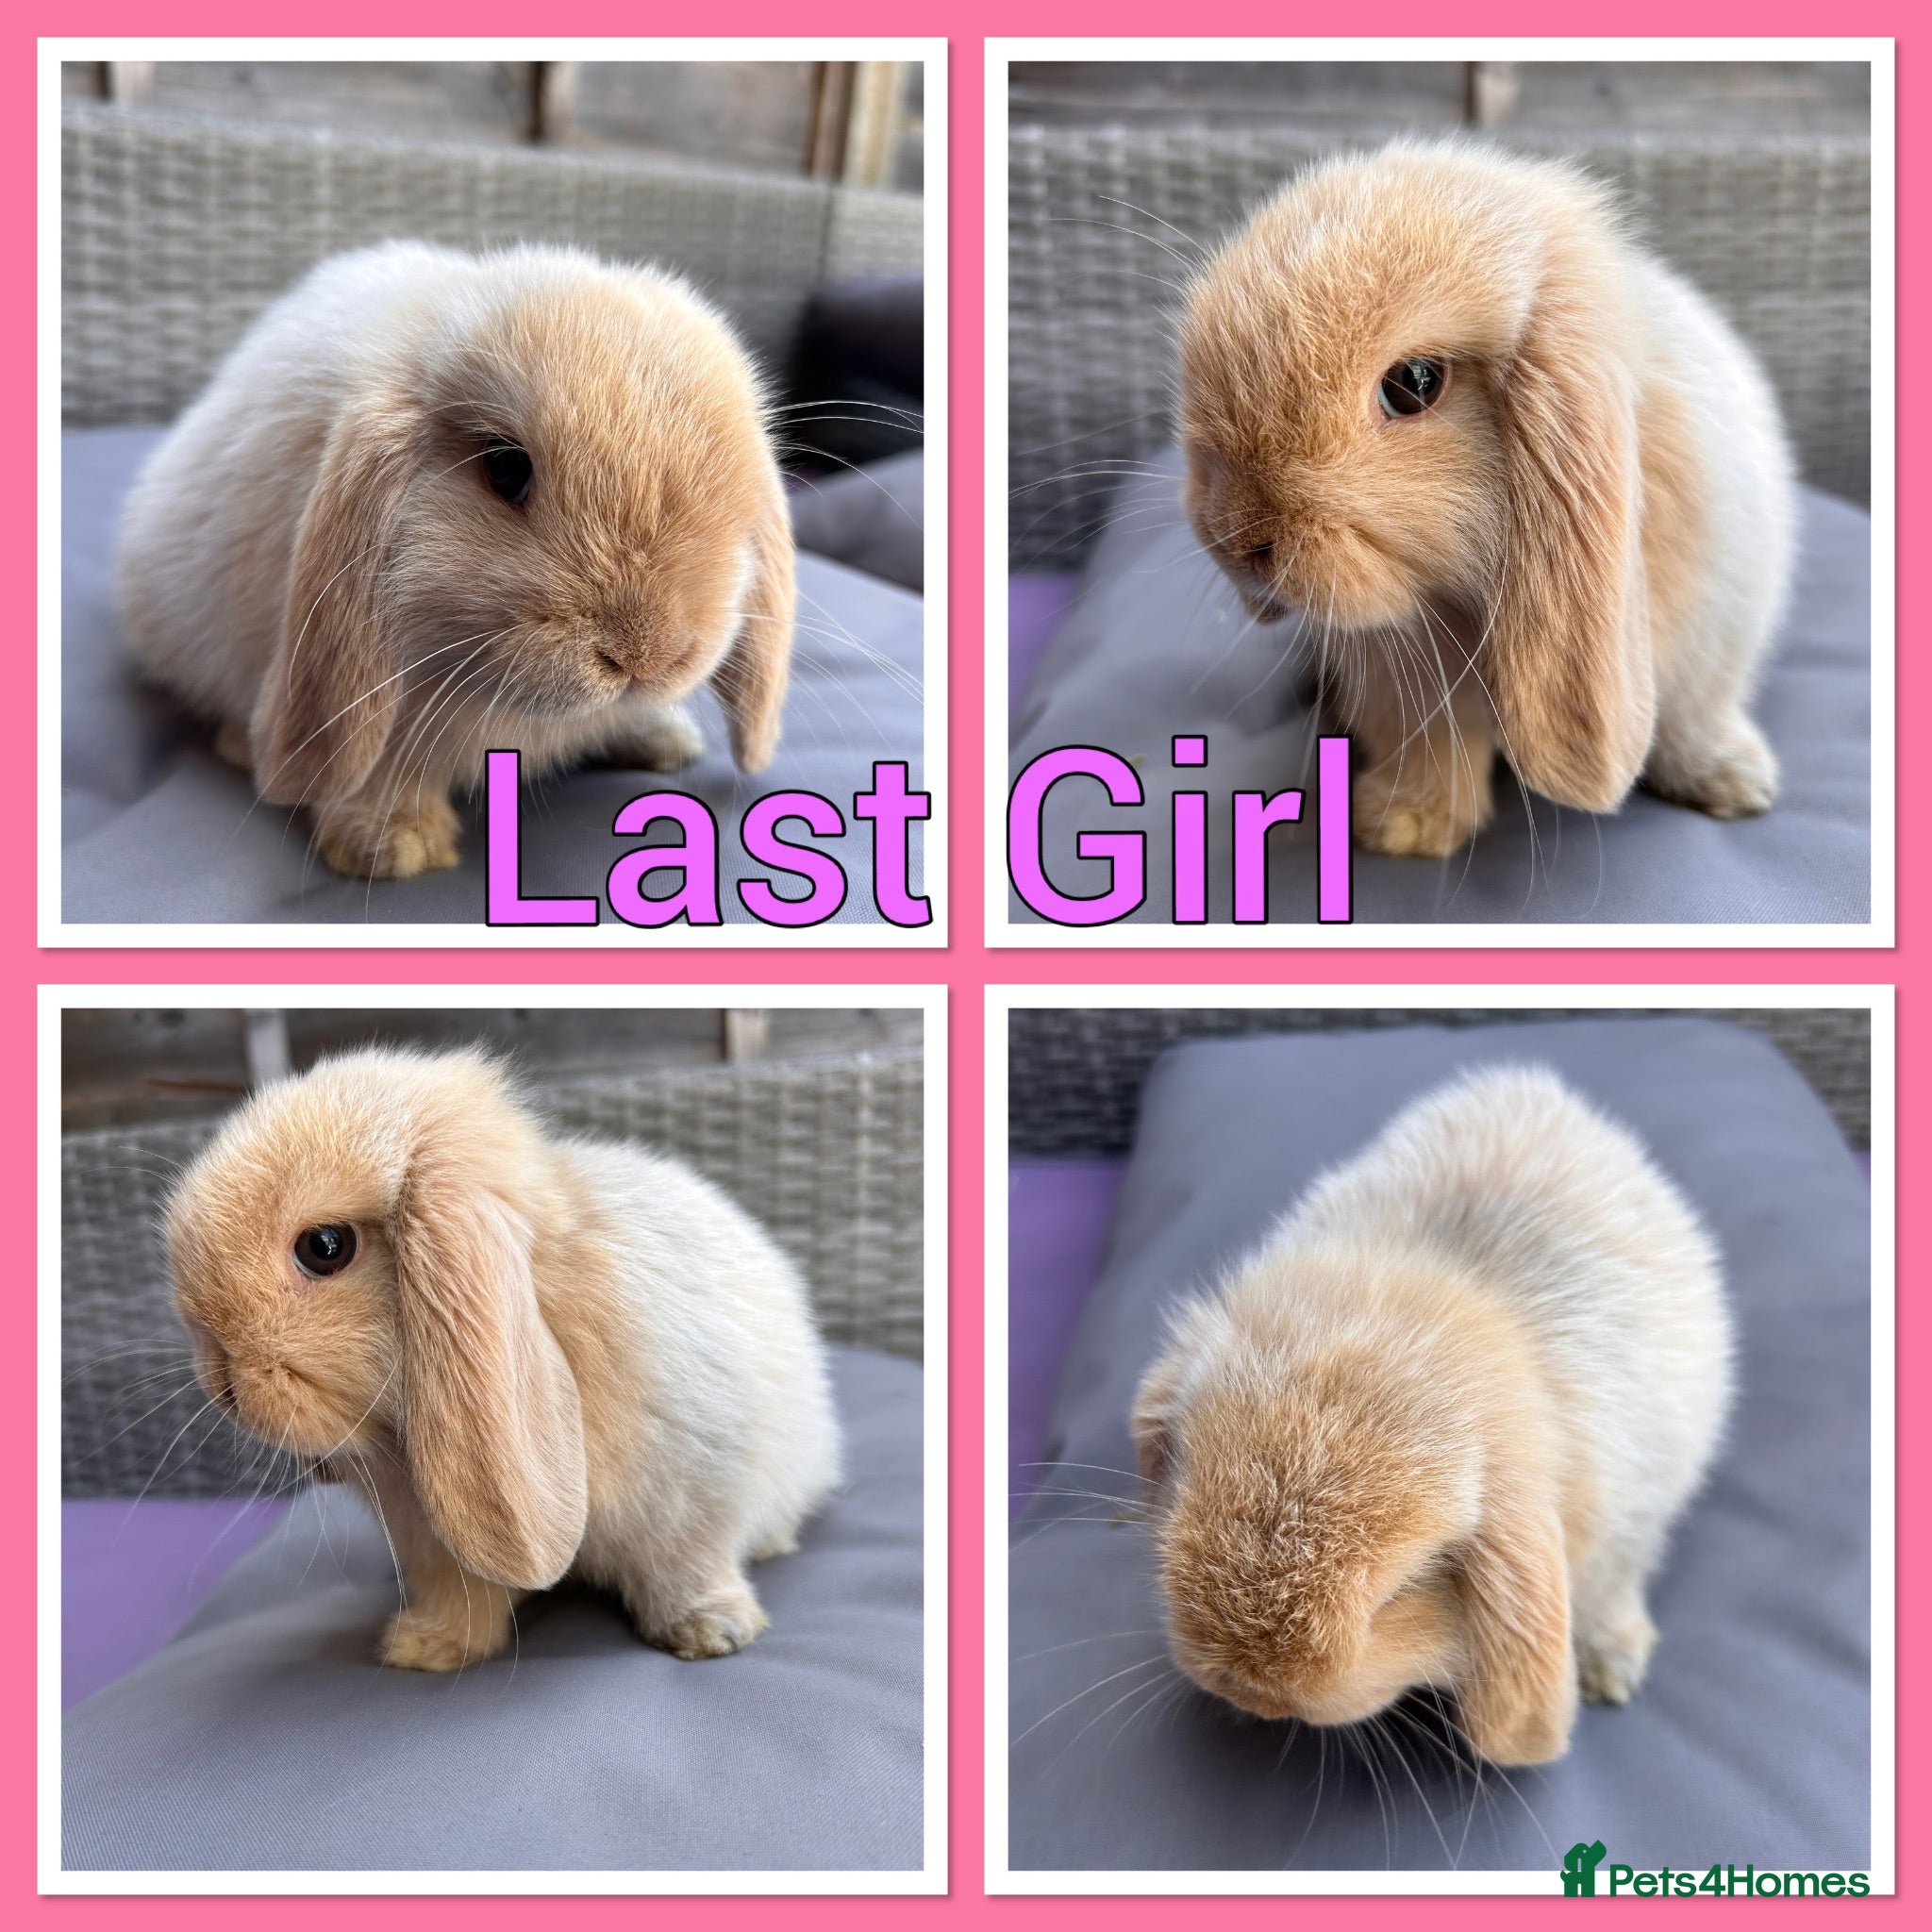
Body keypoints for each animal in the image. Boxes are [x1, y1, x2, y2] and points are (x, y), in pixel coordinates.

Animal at [163, 1047, 841, 1672]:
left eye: (325, 1247)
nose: (220, 1382)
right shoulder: (431, 1543)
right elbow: (460, 1596)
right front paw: (423, 1649)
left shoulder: (693, 1495)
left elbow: (687, 1568)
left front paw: (710, 1634)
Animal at [1177, 139, 1796, 858]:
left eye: (1413, 384)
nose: (1236, 539)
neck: (1458, 603)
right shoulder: (1403, 680)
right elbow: (1433, 755)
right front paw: (1401, 829)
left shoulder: (1716, 644)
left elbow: (1693, 720)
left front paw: (1739, 785)